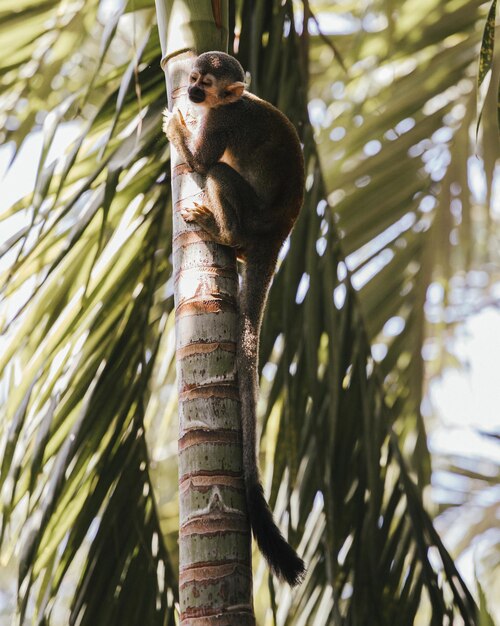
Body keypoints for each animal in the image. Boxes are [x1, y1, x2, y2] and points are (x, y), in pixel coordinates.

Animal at [164, 51, 304, 584]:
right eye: (194, 78)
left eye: (206, 85)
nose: (190, 93)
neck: (230, 101)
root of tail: (280, 232)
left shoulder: (223, 120)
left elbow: (203, 162)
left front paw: (176, 127)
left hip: (253, 215)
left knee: (221, 176)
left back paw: (224, 235)